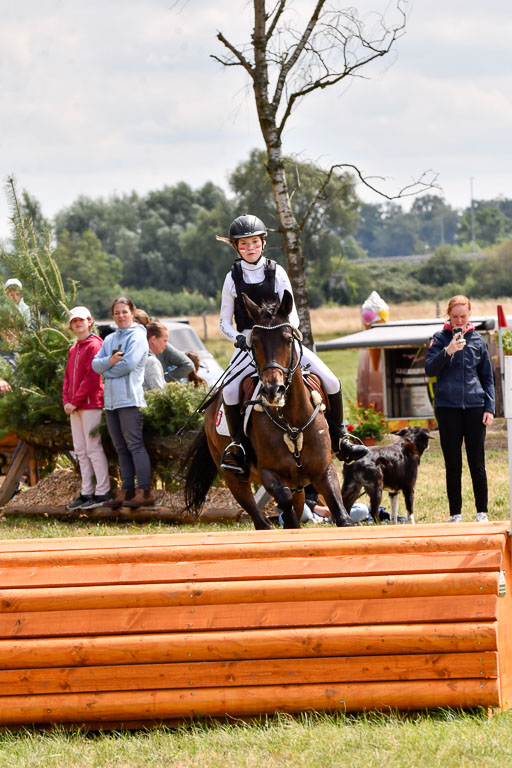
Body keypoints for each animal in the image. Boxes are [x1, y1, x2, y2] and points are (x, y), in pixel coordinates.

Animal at [182, 292, 354, 532]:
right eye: (254, 343)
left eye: (288, 339)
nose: (274, 390)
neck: (291, 420)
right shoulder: (268, 473)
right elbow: (283, 498)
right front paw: (288, 520)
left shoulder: (323, 471)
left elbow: (341, 515)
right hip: (233, 477)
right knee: (260, 520)